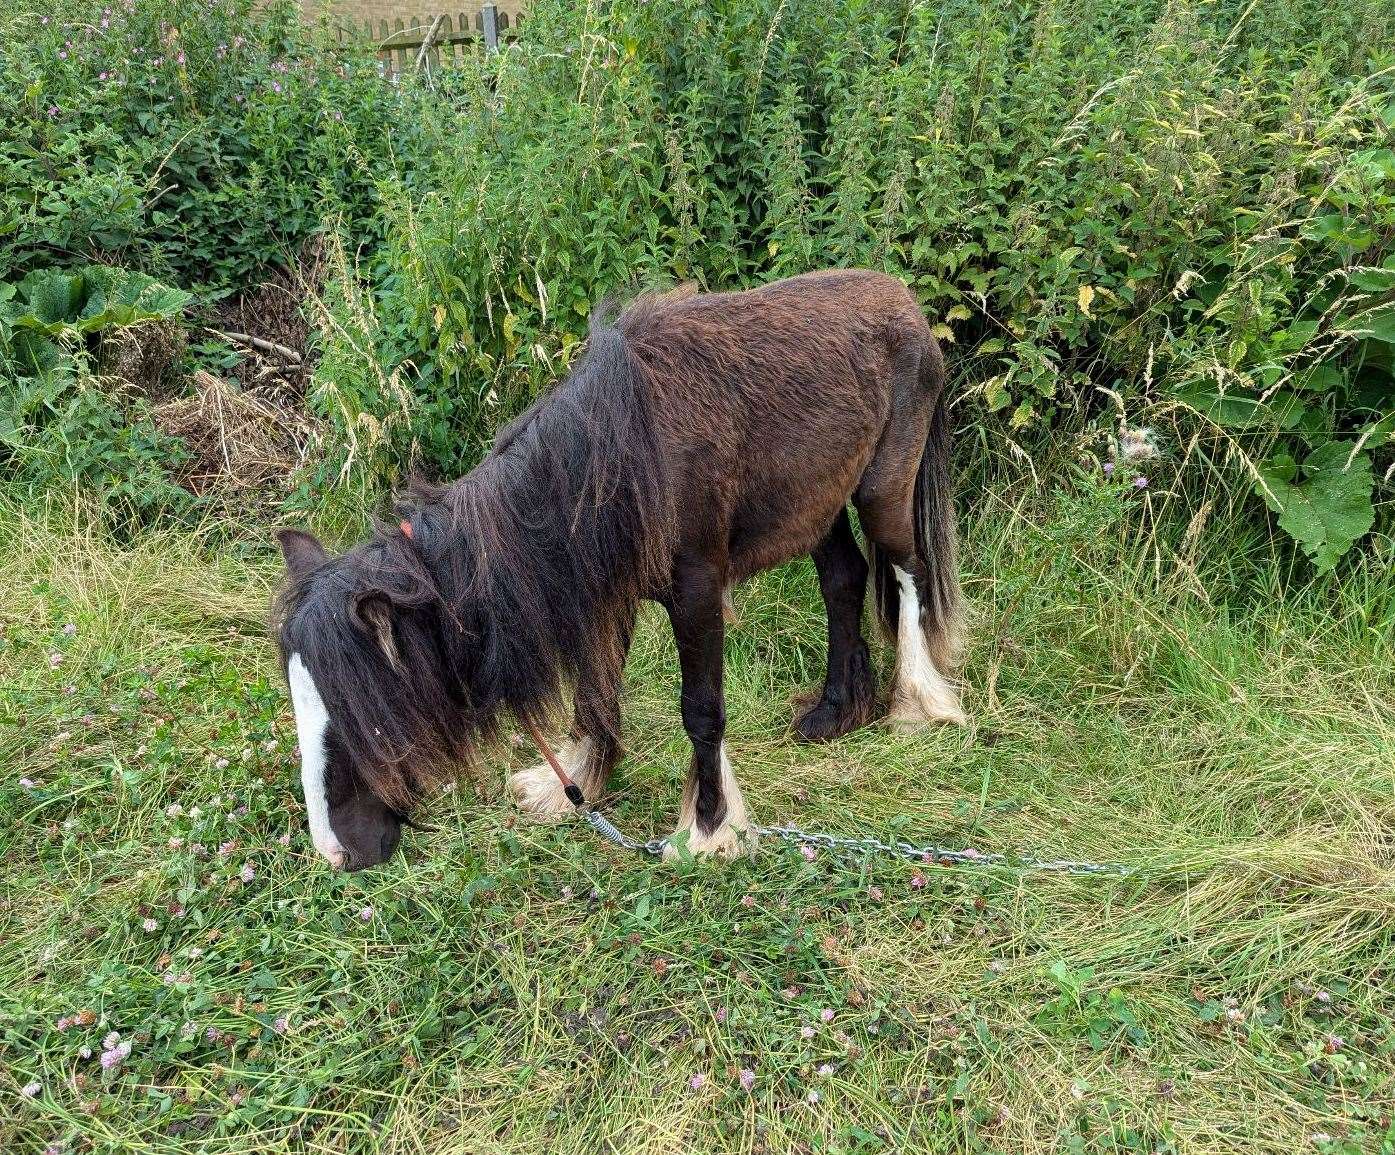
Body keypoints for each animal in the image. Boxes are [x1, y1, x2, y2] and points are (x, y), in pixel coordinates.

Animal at [273, 267, 970, 864]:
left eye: (360, 710)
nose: (336, 853)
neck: (611, 462)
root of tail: (905, 301)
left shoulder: (696, 590)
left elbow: (702, 709)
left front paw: (709, 829)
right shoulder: (608, 594)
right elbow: (596, 693)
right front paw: (577, 782)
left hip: (882, 488)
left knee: (906, 573)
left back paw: (919, 700)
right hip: (814, 506)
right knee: (843, 580)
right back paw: (837, 710)